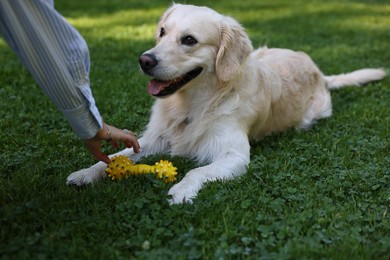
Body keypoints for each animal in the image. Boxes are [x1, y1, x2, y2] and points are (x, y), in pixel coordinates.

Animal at [66, 3, 384, 204]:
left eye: (189, 40)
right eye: (162, 32)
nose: (145, 60)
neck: (193, 103)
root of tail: (318, 70)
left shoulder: (235, 155)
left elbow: (197, 170)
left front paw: (182, 190)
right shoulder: (153, 138)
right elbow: (115, 157)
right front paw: (87, 173)